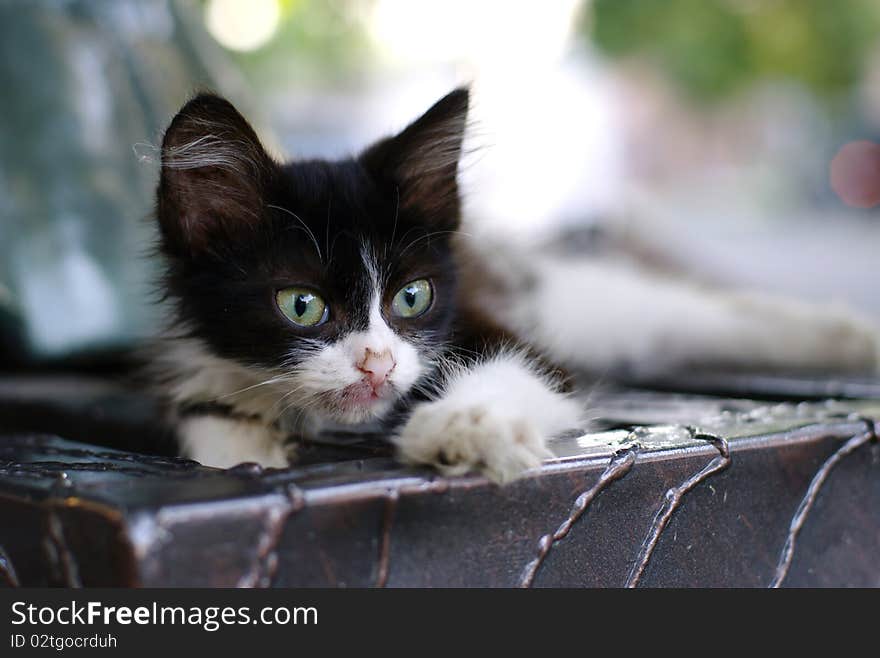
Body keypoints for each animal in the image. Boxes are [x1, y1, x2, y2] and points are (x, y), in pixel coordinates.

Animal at [151, 87, 880, 480]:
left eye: (412, 297)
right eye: (302, 305)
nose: (378, 363)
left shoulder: (503, 327)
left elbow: (528, 370)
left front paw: (464, 427)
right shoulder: (209, 370)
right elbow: (212, 426)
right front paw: (245, 449)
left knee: (707, 314)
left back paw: (850, 337)